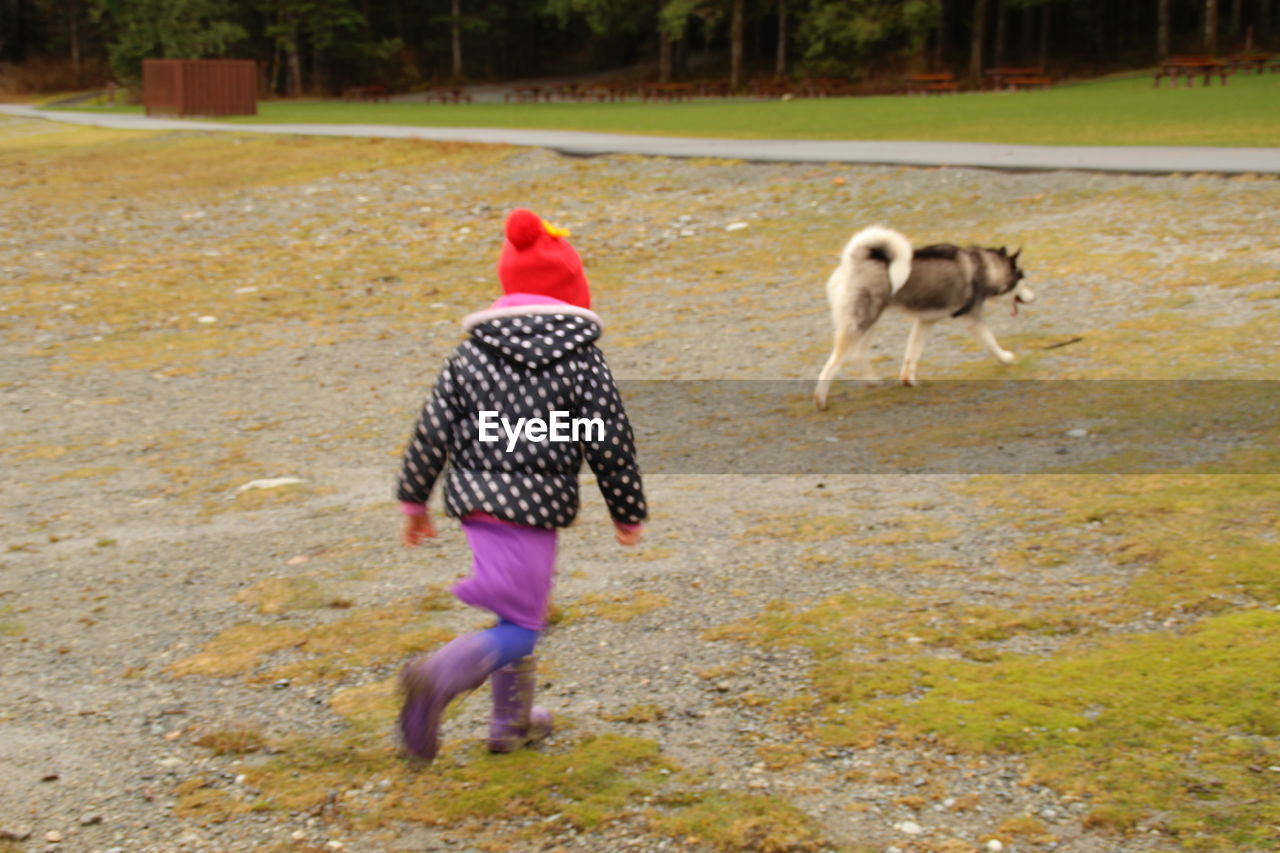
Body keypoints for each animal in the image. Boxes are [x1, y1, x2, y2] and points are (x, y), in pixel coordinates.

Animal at [814, 222, 1034, 409]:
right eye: (1022, 279)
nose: (1034, 297)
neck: (983, 267)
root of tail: (855, 260)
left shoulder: (925, 321)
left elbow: (912, 354)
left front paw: (908, 381)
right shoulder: (971, 318)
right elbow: (991, 344)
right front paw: (1006, 359)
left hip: (871, 321)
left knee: (858, 355)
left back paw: (873, 382)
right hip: (862, 322)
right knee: (832, 364)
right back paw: (820, 399)